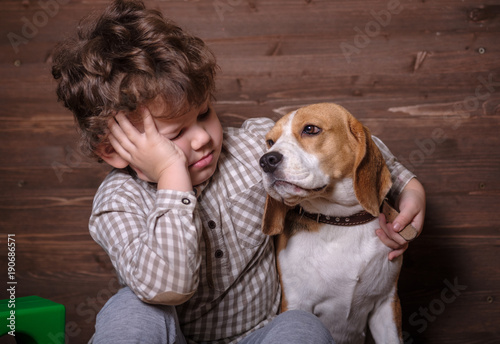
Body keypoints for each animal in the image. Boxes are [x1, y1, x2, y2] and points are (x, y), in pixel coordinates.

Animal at [260, 103, 416, 344]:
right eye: (270, 141)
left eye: (310, 129)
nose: (266, 160)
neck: (340, 222)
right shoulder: (296, 304)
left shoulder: (386, 304)